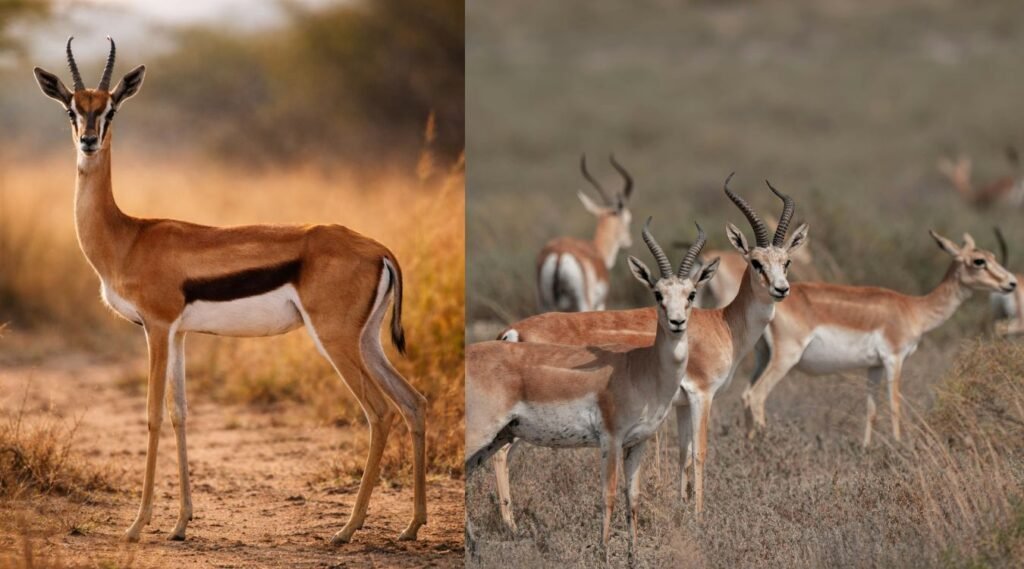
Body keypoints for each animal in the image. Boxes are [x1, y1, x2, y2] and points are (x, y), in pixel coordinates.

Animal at [33, 38, 426, 544]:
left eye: (111, 109)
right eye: (72, 109)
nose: (88, 140)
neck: (128, 237)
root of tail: (379, 249)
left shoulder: (156, 328)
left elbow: (152, 414)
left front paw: (137, 525)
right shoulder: (179, 334)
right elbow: (180, 412)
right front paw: (181, 524)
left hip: (336, 339)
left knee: (380, 412)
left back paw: (347, 529)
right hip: (368, 340)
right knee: (413, 403)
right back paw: (412, 526)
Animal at [467, 220, 719, 560]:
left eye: (691, 293)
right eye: (658, 294)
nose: (677, 322)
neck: (641, 368)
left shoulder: (637, 443)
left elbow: (632, 497)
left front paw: (633, 556)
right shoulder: (610, 440)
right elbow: (608, 495)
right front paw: (604, 553)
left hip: (498, 438)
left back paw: (474, 548)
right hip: (482, 434)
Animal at [496, 176, 808, 516]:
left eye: (786, 261)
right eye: (755, 262)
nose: (781, 289)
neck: (723, 323)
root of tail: (513, 332)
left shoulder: (681, 405)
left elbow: (684, 454)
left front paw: (682, 507)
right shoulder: (702, 396)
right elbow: (700, 453)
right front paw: (699, 515)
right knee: (499, 456)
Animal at [535, 154, 634, 313]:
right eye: (628, 218)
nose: (628, 241)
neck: (597, 250)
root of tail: (559, 255)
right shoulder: (600, 304)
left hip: (545, 304)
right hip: (584, 303)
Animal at [742, 230, 1017, 446]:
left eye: (993, 256)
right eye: (979, 261)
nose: (1012, 282)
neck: (912, 309)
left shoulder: (873, 366)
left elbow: (871, 410)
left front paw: (866, 448)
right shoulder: (894, 359)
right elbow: (894, 405)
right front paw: (898, 446)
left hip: (763, 357)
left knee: (745, 395)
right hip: (786, 357)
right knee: (757, 395)